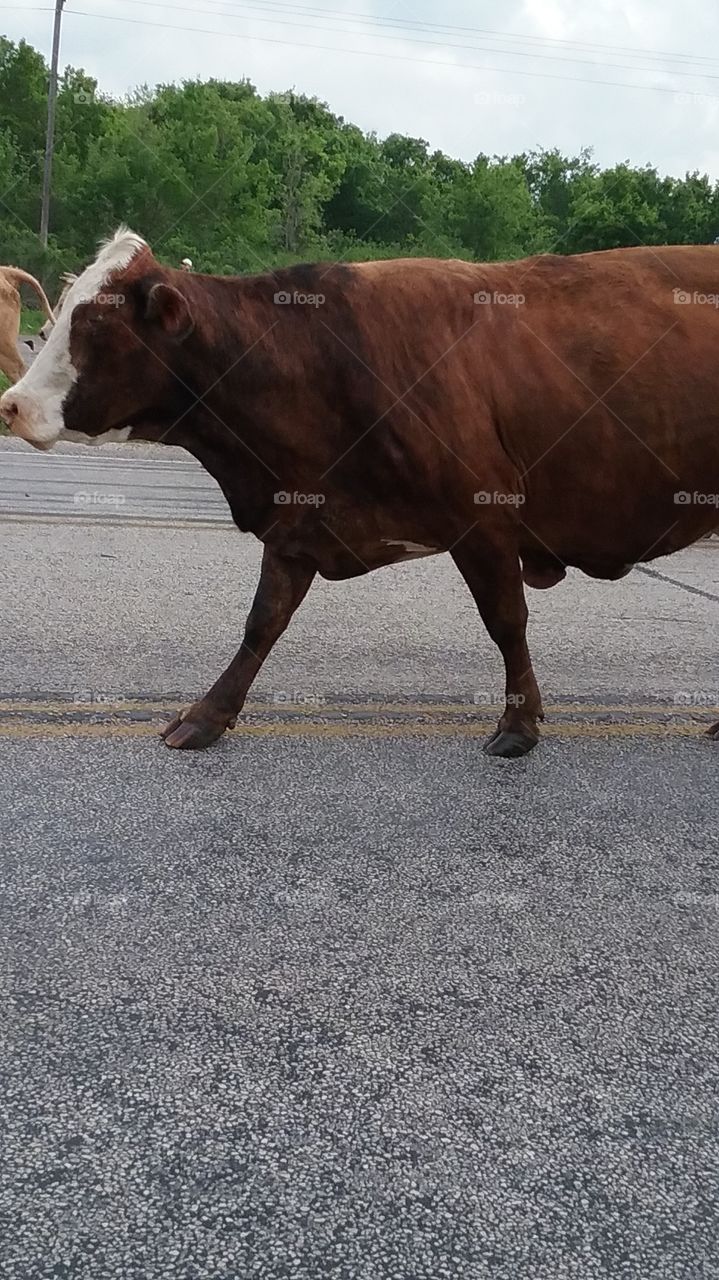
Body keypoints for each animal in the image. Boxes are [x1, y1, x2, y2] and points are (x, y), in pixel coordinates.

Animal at [2, 226, 719, 756]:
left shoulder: (484, 520)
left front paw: (518, 726)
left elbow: (506, 621)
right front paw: (207, 715)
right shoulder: (297, 519)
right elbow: (262, 623)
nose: (13, 405)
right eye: (62, 314)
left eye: (97, 326)